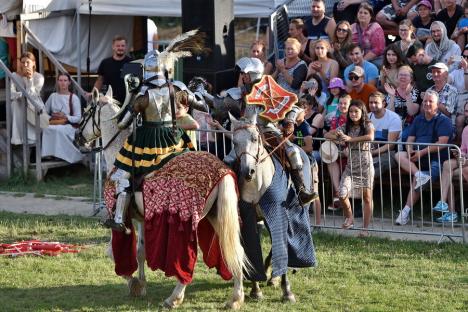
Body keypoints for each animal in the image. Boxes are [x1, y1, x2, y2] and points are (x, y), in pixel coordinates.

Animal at [75, 88, 247, 310]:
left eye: (86, 111)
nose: (78, 138)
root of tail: (221, 171)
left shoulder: (123, 215)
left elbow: (112, 252)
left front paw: (133, 283)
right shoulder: (141, 217)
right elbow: (140, 251)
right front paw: (140, 284)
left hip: (187, 222)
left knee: (189, 258)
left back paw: (175, 297)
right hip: (217, 217)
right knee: (235, 251)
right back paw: (236, 298)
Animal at [229, 114, 316, 302]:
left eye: (255, 138)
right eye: (234, 142)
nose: (248, 171)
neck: (258, 183)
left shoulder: (278, 213)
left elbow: (282, 243)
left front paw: (287, 291)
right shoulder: (248, 219)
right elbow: (252, 249)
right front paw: (255, 289)